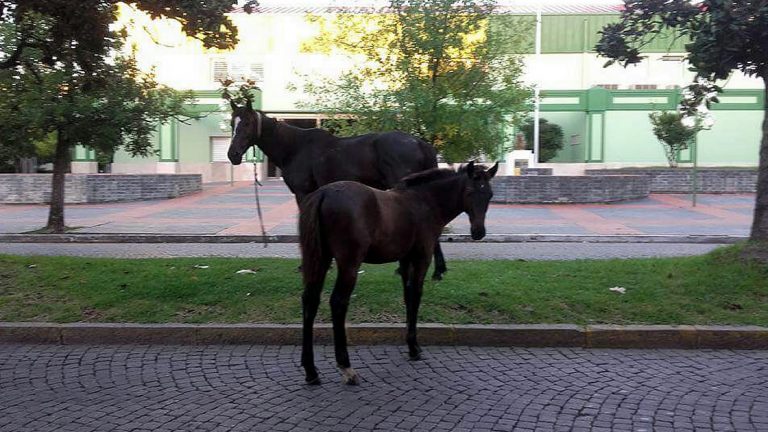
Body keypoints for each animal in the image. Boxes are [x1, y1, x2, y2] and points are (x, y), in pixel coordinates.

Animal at [226, 100, 449, 280]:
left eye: (247, 123)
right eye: (231, 123)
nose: (233, 155)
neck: (295, 148)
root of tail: (420, 143)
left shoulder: (303, 194)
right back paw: (436, 270)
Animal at [298, 161, 498, 385]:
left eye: (489, 194)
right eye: (470, 191)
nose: (478, 232)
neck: (424, 202)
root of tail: (323, 193)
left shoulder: (404, 260)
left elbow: (407, 296)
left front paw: (412, 344)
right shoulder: (421, 258)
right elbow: (416, 295)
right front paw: (414, 348)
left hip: (320, 259)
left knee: (310, 301)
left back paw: (311, 371)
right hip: (349, 264)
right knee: (338, 302)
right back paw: (346, 367)